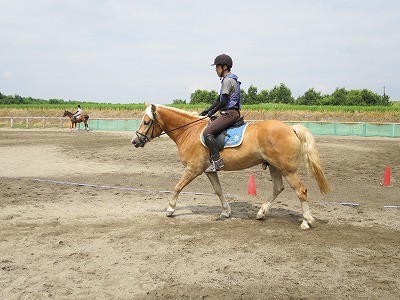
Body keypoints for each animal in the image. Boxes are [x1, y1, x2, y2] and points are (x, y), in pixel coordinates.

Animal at [131, 104, 332, 229]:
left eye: (146, 122)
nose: (135, 141)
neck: (189, 131)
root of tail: (291, 128)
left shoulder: (193, 169)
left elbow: (177, 186)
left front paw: (170, 209)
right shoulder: (208, 171)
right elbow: (218, 190)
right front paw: (226, 212)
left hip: (287, 168)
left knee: (300, 190)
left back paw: (306, 221)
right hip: (275, 166)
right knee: (278, 187)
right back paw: (261, 213)